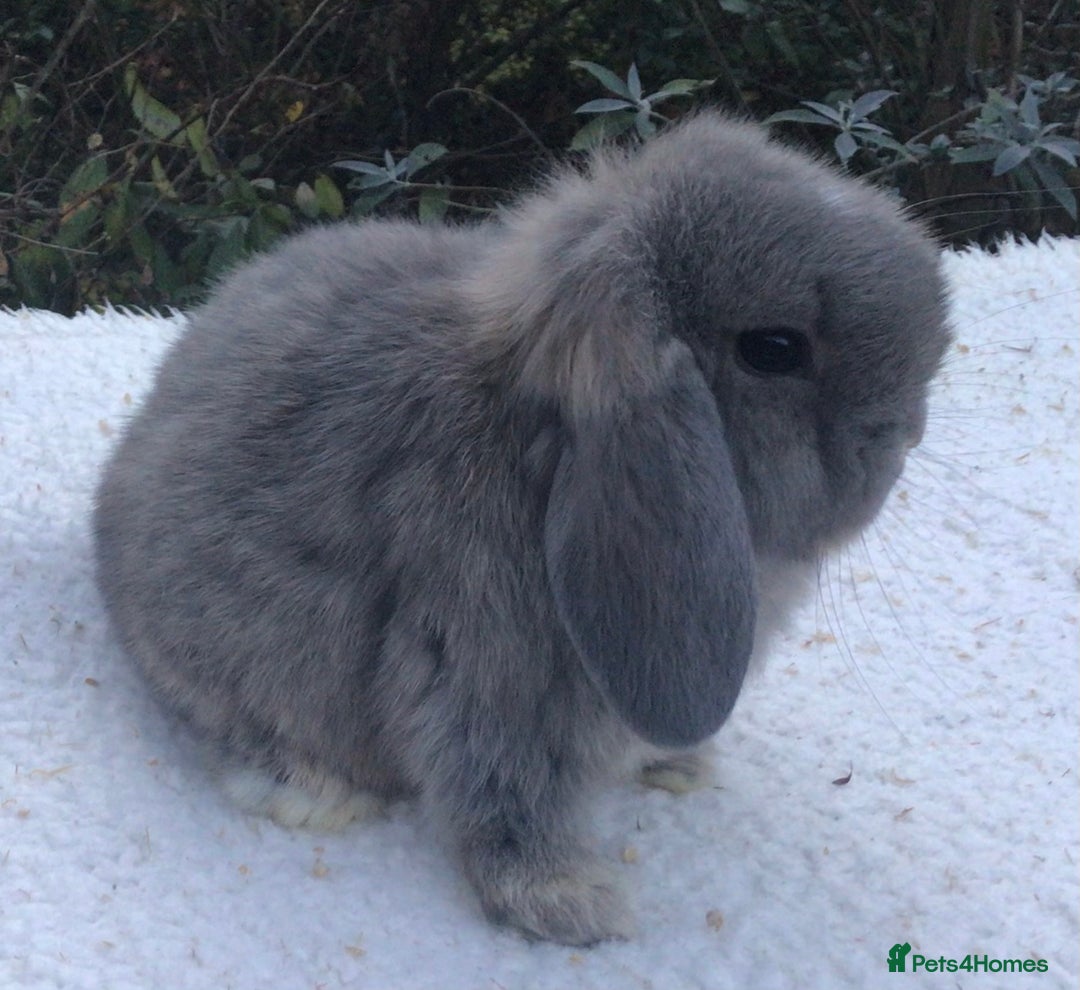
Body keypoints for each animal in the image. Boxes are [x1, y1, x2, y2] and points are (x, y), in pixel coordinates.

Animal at [92, 111, 950, 945]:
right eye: (775, 350)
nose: (903, 437)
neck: (538, 442)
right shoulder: (481, 665)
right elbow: (500, 793)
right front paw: (573, 903)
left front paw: (678, 767)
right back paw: (312, 790)